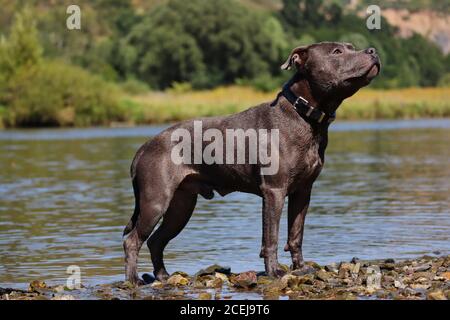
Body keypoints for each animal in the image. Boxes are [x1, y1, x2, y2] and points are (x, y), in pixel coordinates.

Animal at [122, 41, 380, 284]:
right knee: (132, 240)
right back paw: (134, 280)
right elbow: (271, 236)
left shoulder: (303, 191)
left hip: (181, 206)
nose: (373, 50)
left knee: (156, 241)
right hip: (155, 201)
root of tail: (143, 147)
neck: (304, 114)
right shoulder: (274, 191)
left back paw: (163, 276)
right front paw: (275, 271)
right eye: (337, 52)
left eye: (351, 47)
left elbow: (296, 234)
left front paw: (301, 268)